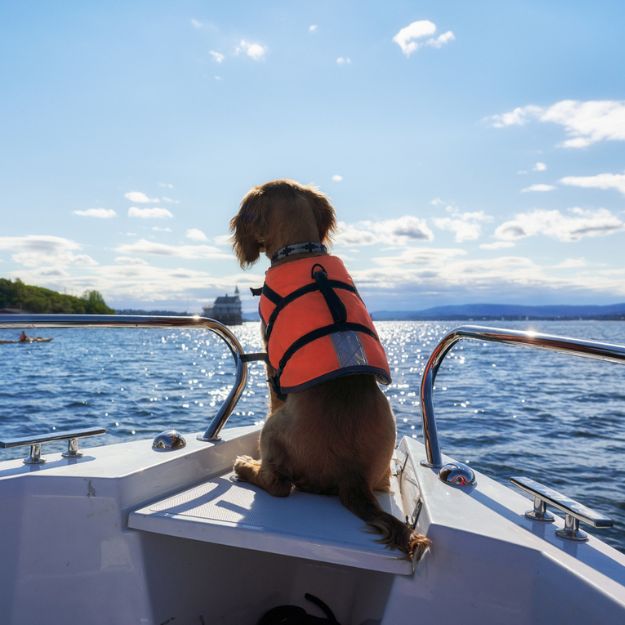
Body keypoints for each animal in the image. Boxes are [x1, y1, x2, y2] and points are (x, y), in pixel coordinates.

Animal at [229, 178, 428, 560]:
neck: (301, 251)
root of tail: (351, 476)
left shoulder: (273, 363)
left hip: (274, 428)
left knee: (278, 484)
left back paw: (247, 467)